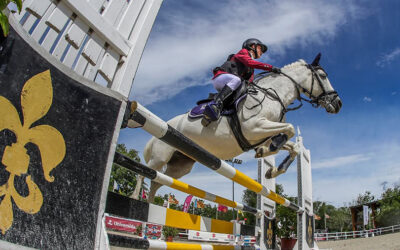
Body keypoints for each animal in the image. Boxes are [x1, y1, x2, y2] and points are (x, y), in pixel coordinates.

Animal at [130, 54, 340, 201]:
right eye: (323, 76)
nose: (338, 104)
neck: (274, 94)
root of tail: (164, 125)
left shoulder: (263, 134)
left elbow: (291, 145)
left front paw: (271, 168)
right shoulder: (254, 127)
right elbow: (289, 129)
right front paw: (270, 152)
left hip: (180, 165)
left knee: (157, 182)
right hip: (160, 156)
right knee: (145, 173)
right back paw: (135, 201)